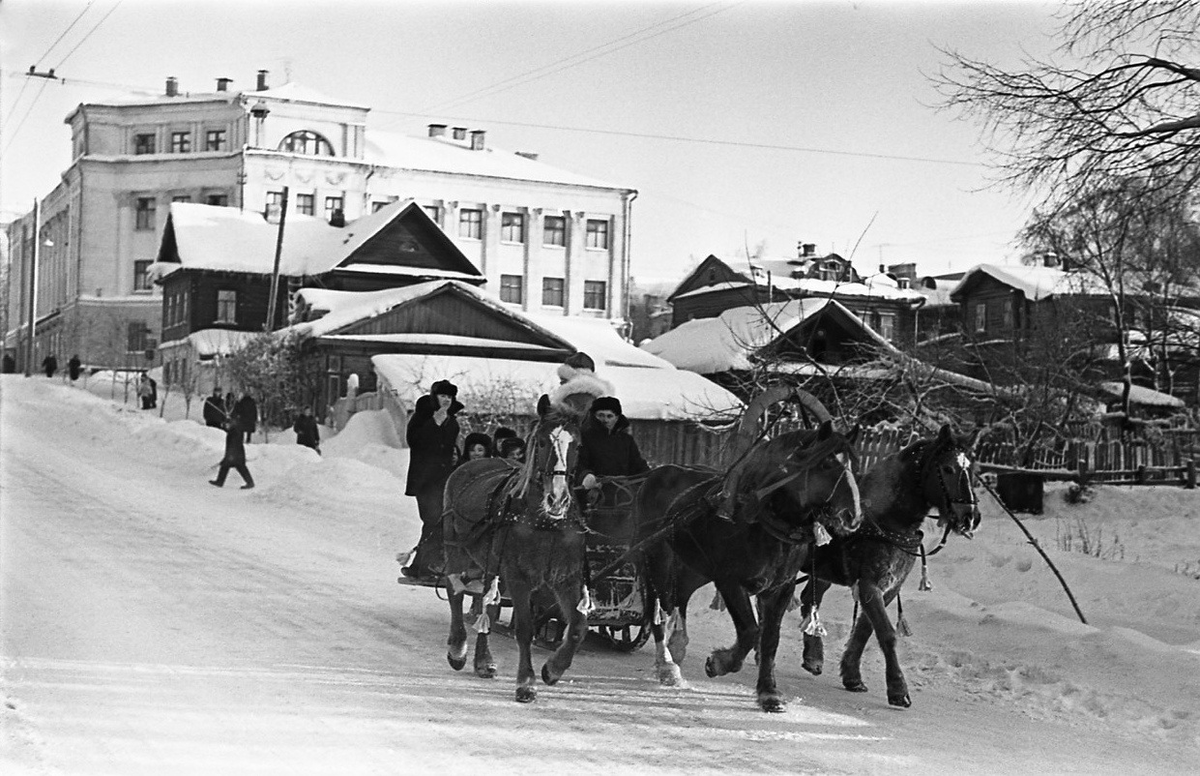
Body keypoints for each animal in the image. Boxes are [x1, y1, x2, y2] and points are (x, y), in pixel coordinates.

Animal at [441, 395, 590, 705]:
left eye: (578, 445)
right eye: (543, 442)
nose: (557, 498)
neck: (547, 523)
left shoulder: (567, 577)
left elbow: (578, 628)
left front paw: (553, 669)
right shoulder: (519, 577)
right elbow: (524, 629)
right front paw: (526, 683)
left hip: (490, 563)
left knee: (487, 602)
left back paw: (483, 661)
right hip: (457, 549)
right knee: (455, 591)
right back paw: (458, 648)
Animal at [638, 407, 864, 714]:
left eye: (853, 464)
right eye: (826, 463)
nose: (852, 515)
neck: (762, 520)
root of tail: (657, 472)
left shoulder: (780, 588)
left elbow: (769, 640)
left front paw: (768, 692)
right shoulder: (730, 581)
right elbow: (749, 631)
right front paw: (719, 663)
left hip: (694, 568)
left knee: (678, 598)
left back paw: (678, 647)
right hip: (657, 558)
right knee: (659, 607)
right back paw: (667, 665)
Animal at [796, 424, 974, 710]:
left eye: (972, 470)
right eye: (947, 468)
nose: (969, 518)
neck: (887, 518)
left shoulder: (889, 588)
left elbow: (866, 630)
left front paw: (852, 676)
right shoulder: (870, 584)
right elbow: (887, 633)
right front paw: (898, 688)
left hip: (820, 570)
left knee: (809, 599)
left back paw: (813, 656)